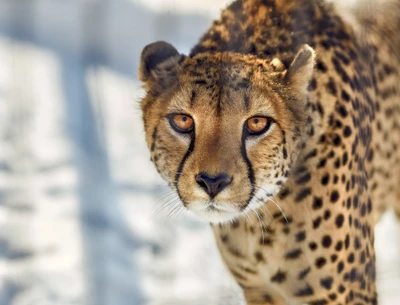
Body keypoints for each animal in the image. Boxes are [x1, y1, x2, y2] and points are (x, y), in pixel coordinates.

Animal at [138, 1, 400, 302]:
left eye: (257, 123)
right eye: (182, 121)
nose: (213, 182)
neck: (259, 221)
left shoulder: (347, 292)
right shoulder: (259, 290)